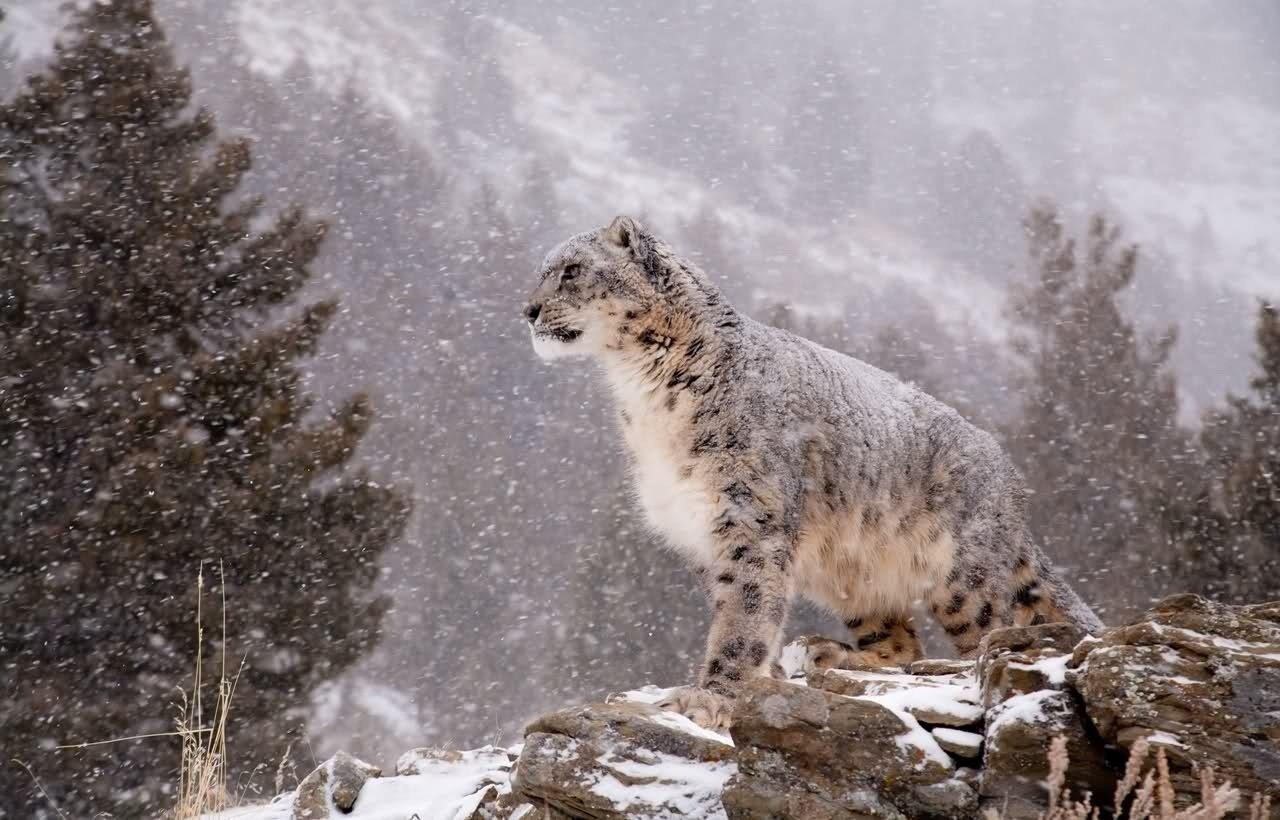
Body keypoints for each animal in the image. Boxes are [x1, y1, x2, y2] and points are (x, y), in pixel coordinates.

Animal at [519, 214, 1100, 726]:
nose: (527, 309)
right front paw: (756, 678)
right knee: (900, 642)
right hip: (857, 574)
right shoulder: (700, 526)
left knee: (990, 633)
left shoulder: (751, 513)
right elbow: (737, 603)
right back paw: (828, 653)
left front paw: (711, 695)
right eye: (543, 269)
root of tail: (1011, 479)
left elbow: (745, 610)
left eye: (571, 270)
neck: (644, 392)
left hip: (964, 576)